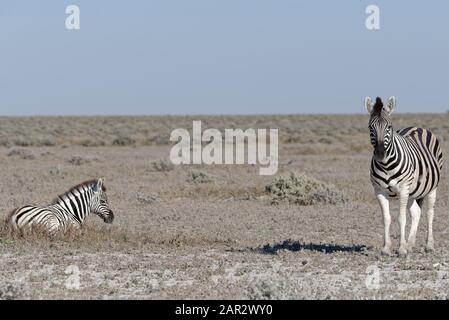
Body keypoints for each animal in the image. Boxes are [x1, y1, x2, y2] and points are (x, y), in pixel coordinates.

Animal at [366, 96, 442, 256]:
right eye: (370, 128)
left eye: (389, 127)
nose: (380, 154)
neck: (386, 165)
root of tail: (418, 127)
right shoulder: (379, 191)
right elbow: (386, 218)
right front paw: (386, 248)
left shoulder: (402, 189)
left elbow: (401, 218)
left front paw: (401, 249)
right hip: (412, 191)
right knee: (416, 212)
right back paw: (410, 244)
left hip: (431, 188)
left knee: (429, 213)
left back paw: (429, 245)